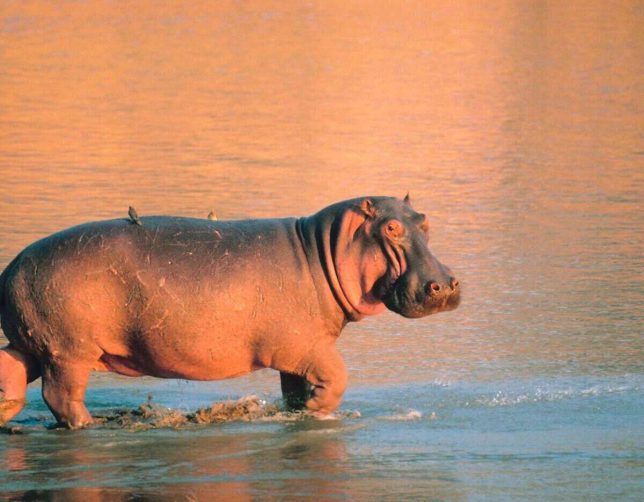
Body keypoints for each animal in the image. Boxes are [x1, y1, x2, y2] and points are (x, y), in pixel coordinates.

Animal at [0, 196, 460, 428]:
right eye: (391, 228)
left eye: (425, 220)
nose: (446, 284)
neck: (325, 247)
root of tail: (11, 267)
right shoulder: (306, 345)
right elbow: (339, 375)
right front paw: (317, 408)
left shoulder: (297, 355)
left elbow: (294, 391)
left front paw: (301, 410)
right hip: (68, 351)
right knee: (61, 397)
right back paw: (90, 426)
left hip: (33, 343)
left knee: (12, 371)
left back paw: (8, 413)